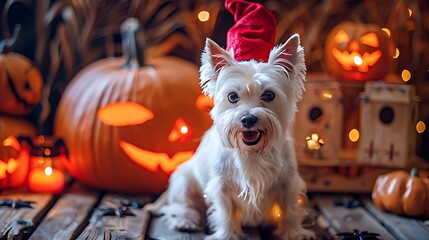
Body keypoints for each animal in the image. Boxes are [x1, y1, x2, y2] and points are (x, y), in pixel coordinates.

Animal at [159, 34, 312, 240]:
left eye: (269, 95)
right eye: (232, 97)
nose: (248, 119)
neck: (252, 152)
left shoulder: (288, 182)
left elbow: (290, 209)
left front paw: (294, 233)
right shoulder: (221, 186)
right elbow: (226, 212)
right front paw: (226, 235)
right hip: (184, 182)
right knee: (180, 206)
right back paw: (185, 221)